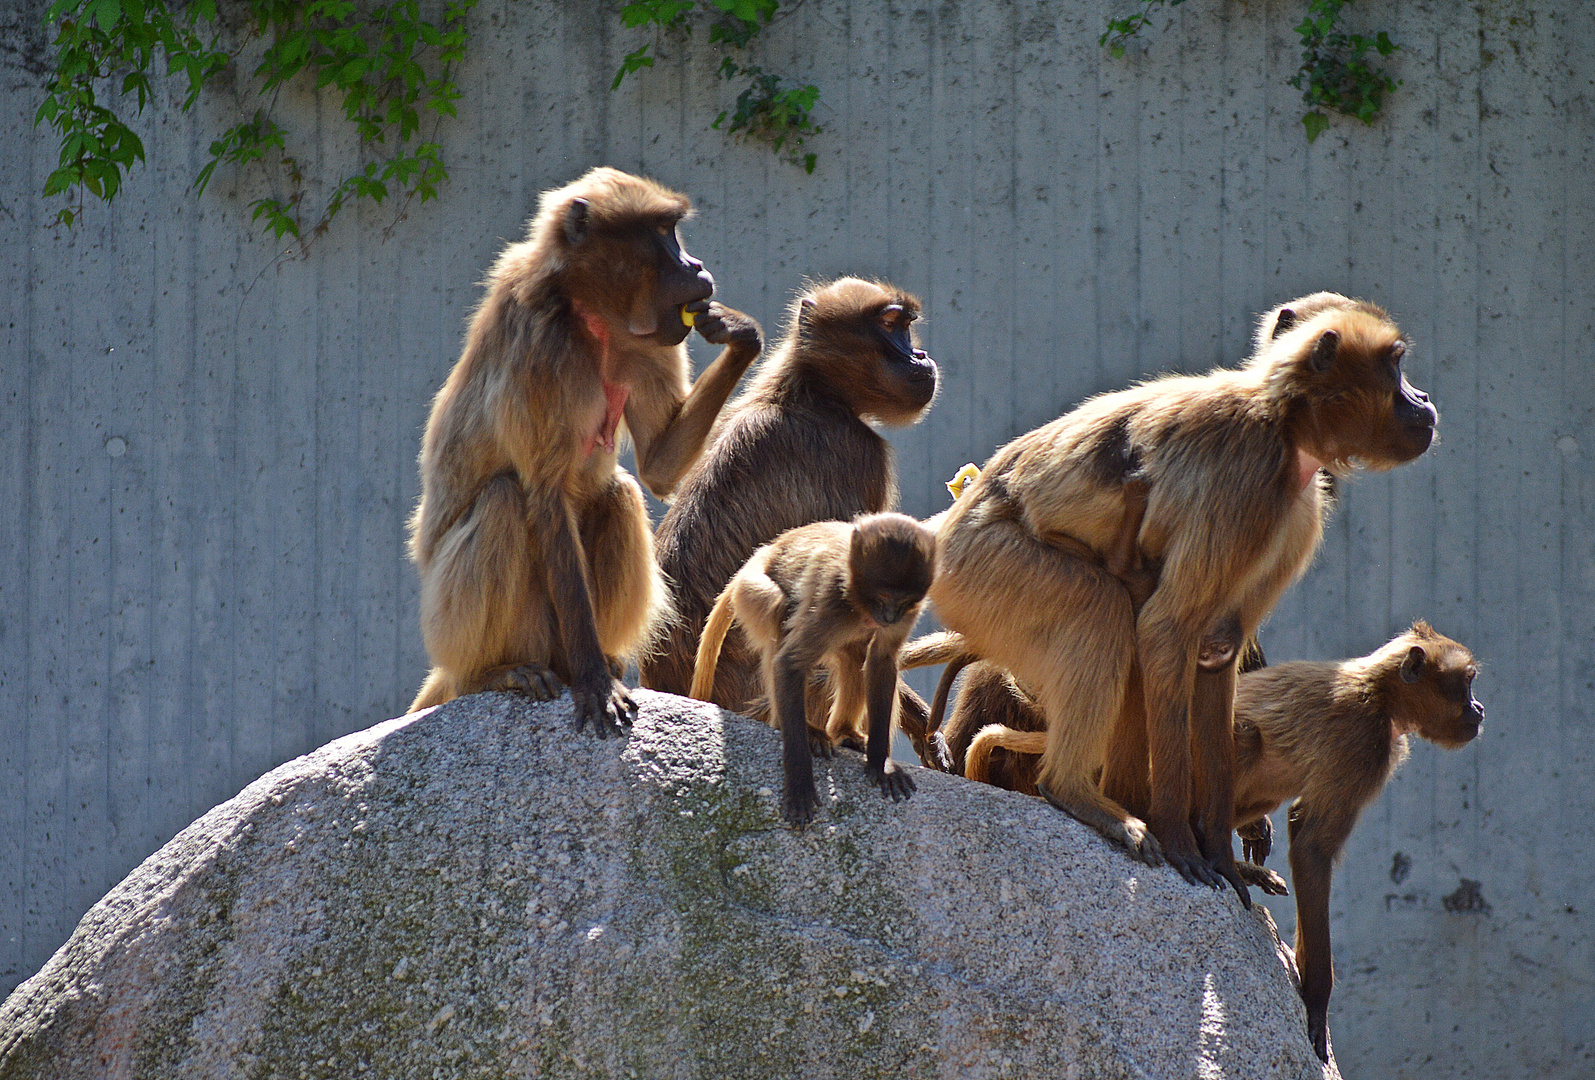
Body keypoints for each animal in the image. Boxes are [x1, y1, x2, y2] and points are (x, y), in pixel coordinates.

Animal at [689, 513, 931, 823]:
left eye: (903, 601)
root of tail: (762, 552)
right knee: (779, 609)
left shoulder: (907, 612)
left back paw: (843, 731)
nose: (888, 617)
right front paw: (800, 782)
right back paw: (794, 726)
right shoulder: (831, 599)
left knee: (854, 655)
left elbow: (882, 660)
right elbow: (789, 664)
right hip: (749, 588)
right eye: (883, 596)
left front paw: (880, 764)